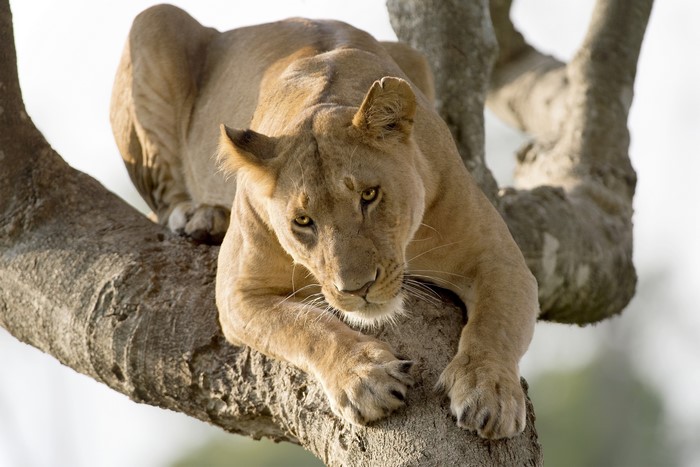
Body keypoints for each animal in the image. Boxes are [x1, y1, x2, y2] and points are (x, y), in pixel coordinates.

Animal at [110, 4, 539, 439]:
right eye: (303, 220)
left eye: (369, 195)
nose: (358, 289)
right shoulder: (238, 292)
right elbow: (305, 326)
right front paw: (364, 379)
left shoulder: (497, 256)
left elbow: (495, 324)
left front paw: (488, 392)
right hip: (153, 20)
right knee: (164, 199)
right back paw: (200, 215)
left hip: (413, 55)